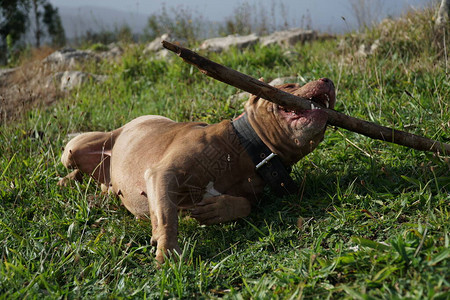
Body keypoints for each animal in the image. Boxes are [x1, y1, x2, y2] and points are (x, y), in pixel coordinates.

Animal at [58, 78, 334, 262]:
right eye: (288, 86)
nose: (327, 80)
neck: (245, 148)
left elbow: (245, 204)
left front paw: (218, 209)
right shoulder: (163, 174)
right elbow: (166, 216)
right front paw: (167, 250)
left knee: (102, 185)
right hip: (73, 149)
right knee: (73, 165)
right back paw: (66, 181)